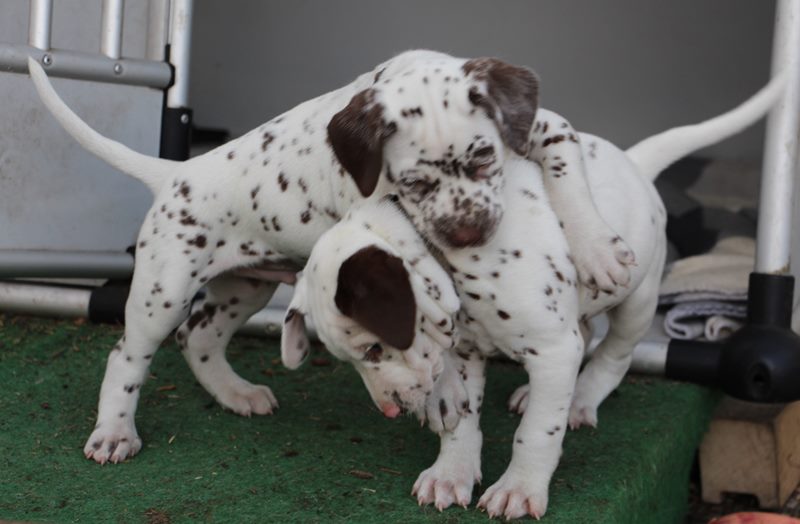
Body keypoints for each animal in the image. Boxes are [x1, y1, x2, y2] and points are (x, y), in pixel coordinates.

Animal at [28, 49, 633, 464]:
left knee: (198, 338)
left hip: (245, 287)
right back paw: (114, 432)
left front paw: (598, 250)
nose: (470, 234)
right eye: (415, 183)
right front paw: (442, 394)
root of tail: (175, 172)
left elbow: (566, 169)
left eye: (484, 158)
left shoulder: (545, 127)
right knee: (127, 356)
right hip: (164, 289)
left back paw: (238, 394)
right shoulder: (377, 214)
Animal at [279, 74, 785, 519]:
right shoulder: (466, 351)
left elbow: (538, 431)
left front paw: (519, 488)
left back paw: (581, 398)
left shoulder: (553, 349)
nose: (389, 409)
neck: (450, 258)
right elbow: (463, 421)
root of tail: (634, 162)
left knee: (613, 354)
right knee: (585, 330)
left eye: (374, 348)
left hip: (638, 300)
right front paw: (451, 473)